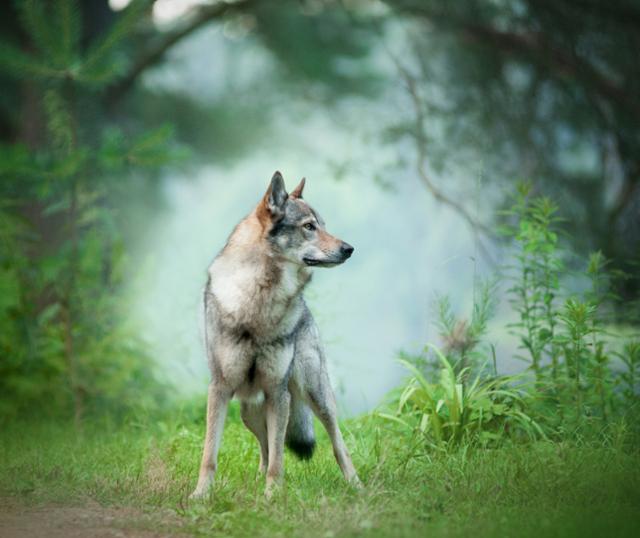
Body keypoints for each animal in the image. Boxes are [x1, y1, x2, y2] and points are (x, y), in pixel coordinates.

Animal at [190, 170, 360, 496]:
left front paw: (272, 497)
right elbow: (209, 455)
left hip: (312, 395)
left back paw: (356, 486)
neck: (259, 299)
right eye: (309, 226)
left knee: (336, 444)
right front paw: (200, 495)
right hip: (250, 409)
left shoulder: (277, 391)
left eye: (324, 225)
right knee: (265, 447)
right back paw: (256, 481)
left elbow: (280, 459)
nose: (349, 248)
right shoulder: (220, 388)